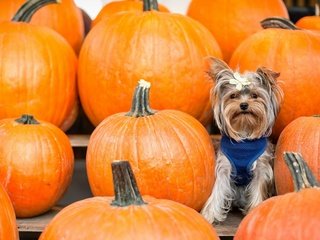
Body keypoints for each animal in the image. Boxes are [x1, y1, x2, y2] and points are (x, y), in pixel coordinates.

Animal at [200, 57, 282, 224]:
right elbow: (218, 190)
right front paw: (209, 215)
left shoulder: (261, 168)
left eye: (255, 95)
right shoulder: (224, 167)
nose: (244, 105)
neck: (244, 133)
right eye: (233, 96)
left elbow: (258, 189)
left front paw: (255, 211)